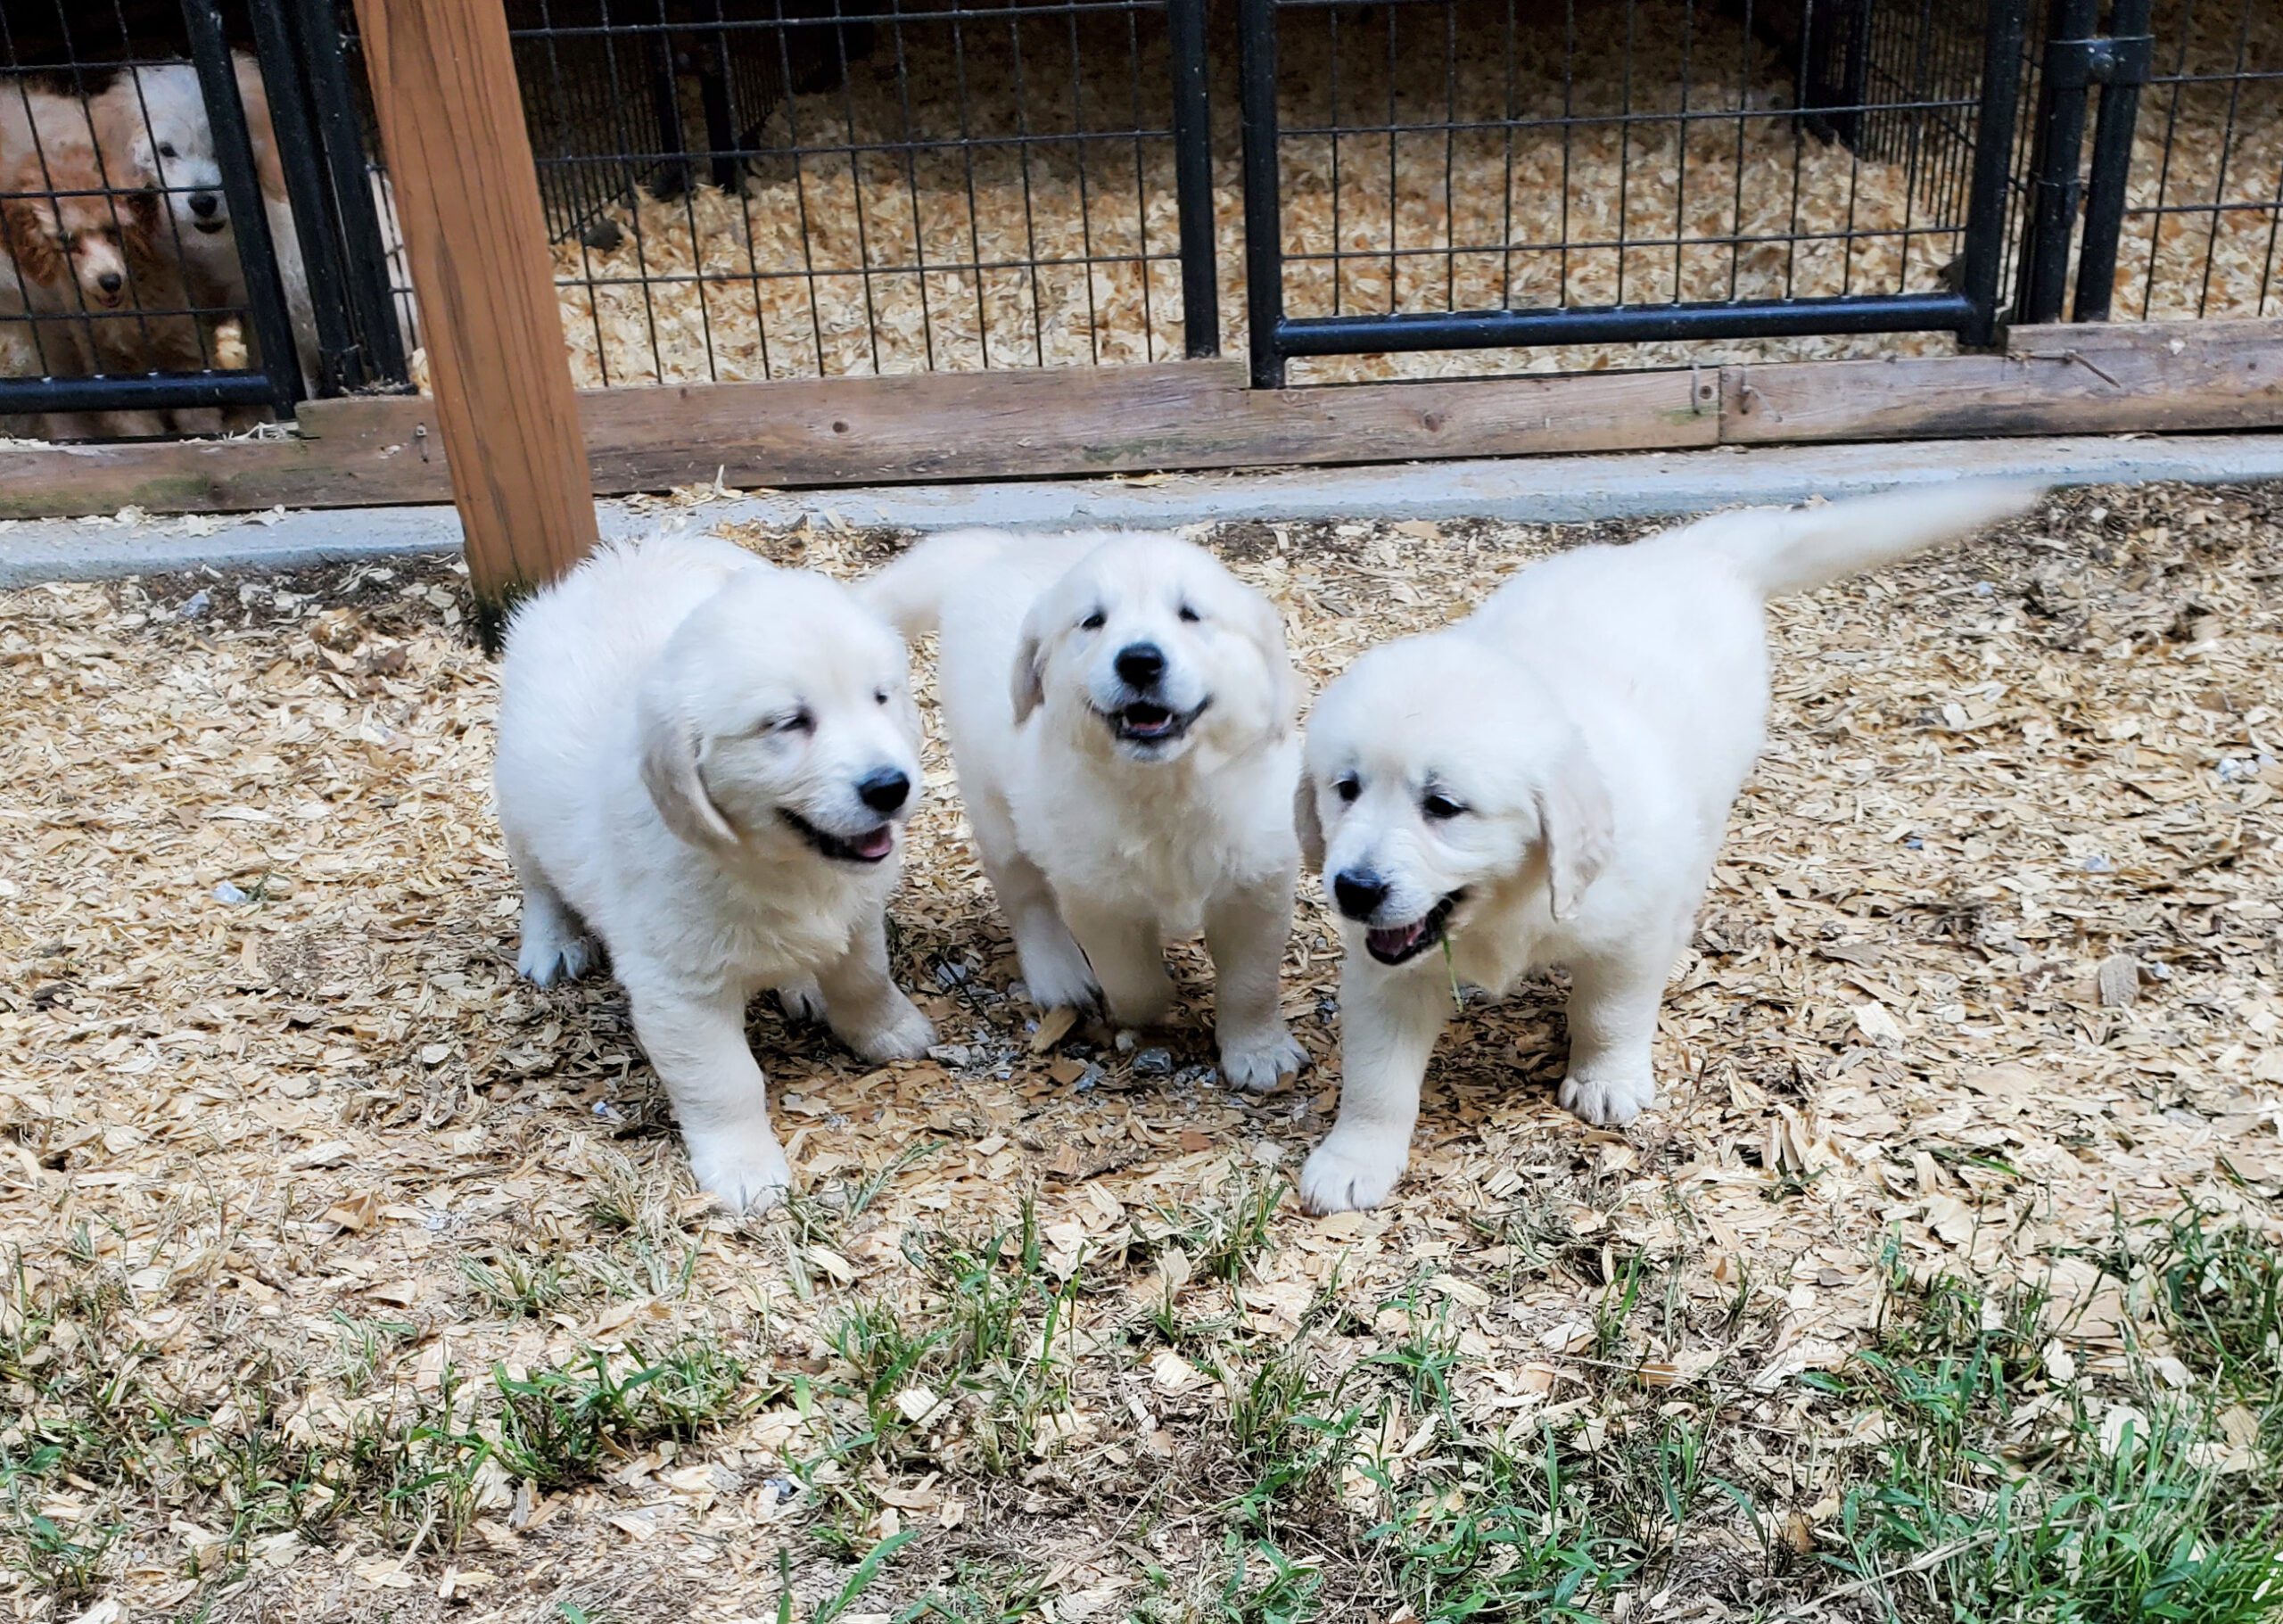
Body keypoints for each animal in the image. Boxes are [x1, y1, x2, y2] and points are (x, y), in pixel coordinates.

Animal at [495, 539, 931, 1215]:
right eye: (789, 722)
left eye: (881, 698)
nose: (891, 787)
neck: (780, 864)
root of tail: (621, 560)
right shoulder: (679, 987)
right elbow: (723, 1079)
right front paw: (745, 1169)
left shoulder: (858, 914)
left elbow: (865, 978)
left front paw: (888, 1029)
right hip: (520, 805)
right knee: (540, 884)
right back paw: (553, 943)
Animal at [862, 534, 1315, 1092]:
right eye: (1093, 621)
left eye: (1190, 614)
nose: (1139, 660)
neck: (1164, 786)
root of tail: (997, 548)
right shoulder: (1097, 896)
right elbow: (1136, 981)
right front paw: (1147, 1010)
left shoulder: (1257, 881)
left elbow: (1251, 981)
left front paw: (1260, 1052)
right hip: (994, 803)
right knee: (1025, 895)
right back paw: (1060, 977)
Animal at [1297, 477, 2045, 1215]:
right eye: (1346, 788)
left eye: (1443, 807)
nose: (1354, 889)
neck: (1510, 905)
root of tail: (1687, 550)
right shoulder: (1387, 971)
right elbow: (1378, 1074)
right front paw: (1354, 1160)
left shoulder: (1630, 931)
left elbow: (1609, 1010)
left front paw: (1606, 1081)